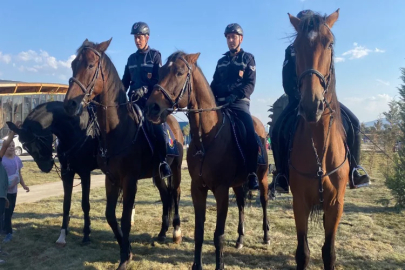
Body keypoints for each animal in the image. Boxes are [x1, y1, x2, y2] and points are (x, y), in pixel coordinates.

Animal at [6, 101, 98, 247]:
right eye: (26, 147)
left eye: (39, 142)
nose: (45, 167)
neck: (77, 130)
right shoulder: (67, 173)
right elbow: (66, 204)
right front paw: (62, 234)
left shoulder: (84, 173)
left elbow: (85, 204)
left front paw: (86, 235)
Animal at [63, 39, 183, 268]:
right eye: (73, 64)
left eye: (90, 65)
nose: (70, 104)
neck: (117, 130)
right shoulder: (111, 179)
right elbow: (111, 216)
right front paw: (125, 251)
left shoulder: (129, 180)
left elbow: (126, 219)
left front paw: (125, 258)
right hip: (157, 174)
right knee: (165, 196)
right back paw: (162, 233)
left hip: (176, 169)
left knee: (175, 194)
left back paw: (175, 233)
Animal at [144, 50, 268, 270]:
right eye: (160, 71)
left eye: (179, 72)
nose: (152, 107)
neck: (207, 139)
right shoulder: (198, 189)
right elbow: (199, 232)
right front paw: (197, 265)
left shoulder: (221, 191)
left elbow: (218, 235)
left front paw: (219, 265)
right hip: (238, 184)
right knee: (242, 204)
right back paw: (240, 239)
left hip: (262, 179)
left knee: (264, 202)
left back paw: (266, 236)